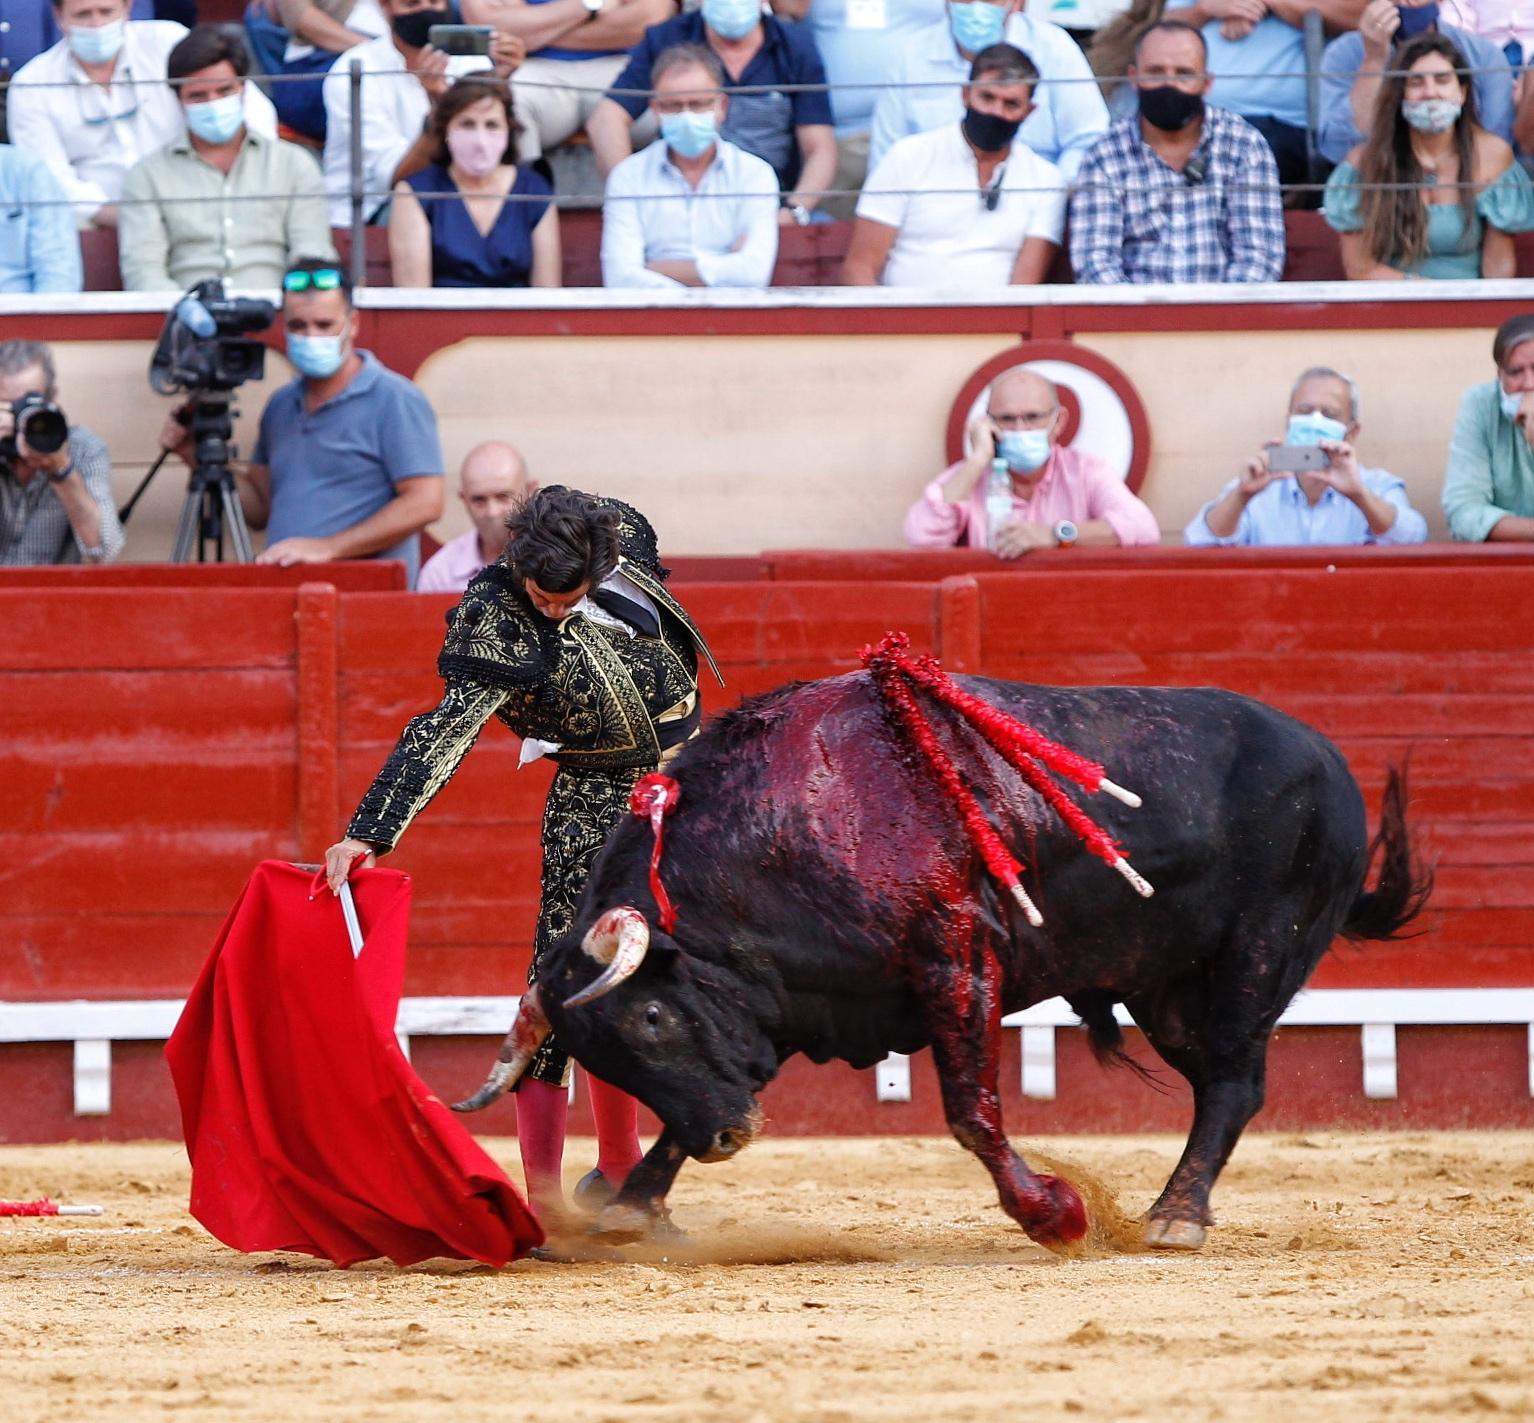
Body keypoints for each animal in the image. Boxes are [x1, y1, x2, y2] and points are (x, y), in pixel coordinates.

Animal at [450, 671, 1423, 1251]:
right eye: (602, 1056)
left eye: (651, 1016)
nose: (725, 1139)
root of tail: (1328, 757)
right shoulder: (805, 999)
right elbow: (720, 1093)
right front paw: (632, 1203)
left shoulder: (958, 960)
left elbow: (971, 1112)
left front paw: (1056, 1214)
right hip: (1164, 987)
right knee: (1222, 1082)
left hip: (1252, 959)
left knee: (1233, 1082)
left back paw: (1173, 1218)